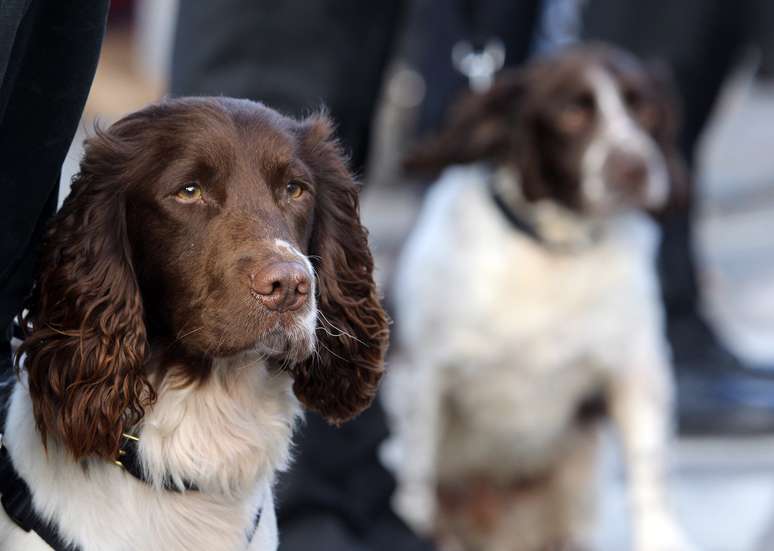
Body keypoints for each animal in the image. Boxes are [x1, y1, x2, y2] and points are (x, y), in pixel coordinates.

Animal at [388, 44, 696, 551]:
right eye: (572, 114)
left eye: (646, 109)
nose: (635, 167)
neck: (553, 249)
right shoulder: (420, 375)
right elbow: (415, 478)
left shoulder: (639, 367)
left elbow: (649, 466)